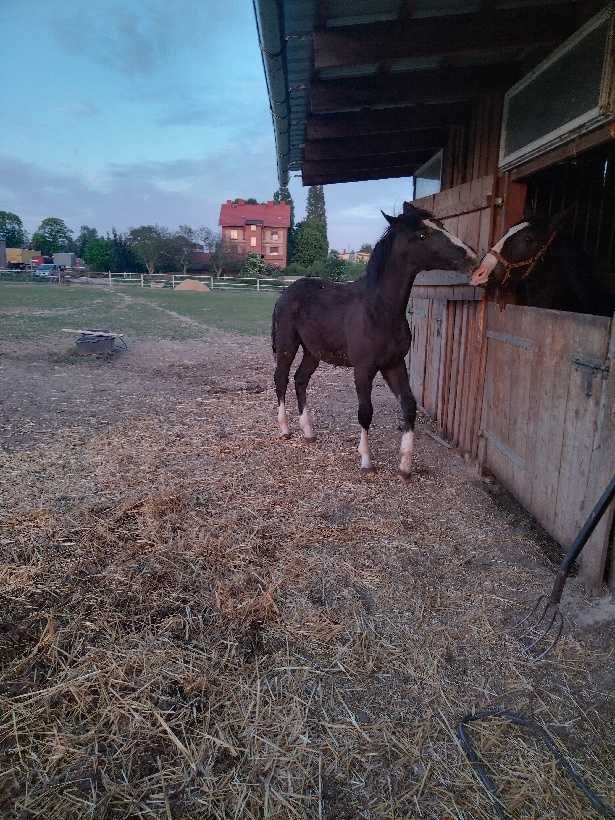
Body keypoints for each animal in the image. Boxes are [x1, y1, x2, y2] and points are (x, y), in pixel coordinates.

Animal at [272, 202, 478, 478]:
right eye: (422, 235)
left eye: (441, 225)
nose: (472, 257)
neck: (380, 310)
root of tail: (285, 292)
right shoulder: (364, 368)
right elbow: (365, 412)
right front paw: (366, 460)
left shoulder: (394, 364)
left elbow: (409, 405)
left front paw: (405, 466)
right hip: (288, 344)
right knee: (281, 379)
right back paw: (285, 429)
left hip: (312, 352)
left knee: (300, 379)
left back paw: (308, 432)